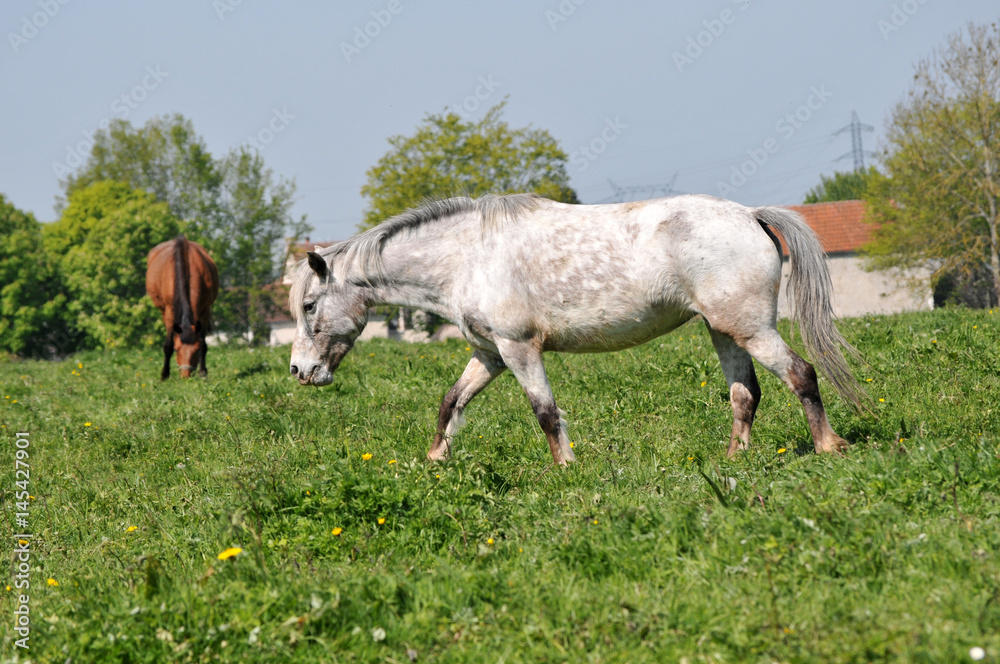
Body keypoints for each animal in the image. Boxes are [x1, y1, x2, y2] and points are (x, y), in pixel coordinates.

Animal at [146, 235, 219, 380]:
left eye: (196, 350)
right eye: (177, 349)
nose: (185, 376)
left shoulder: (205, 310)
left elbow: (203, 342)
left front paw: (203, 372)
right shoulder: (170, 311)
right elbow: (168, 345)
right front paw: (164, 375)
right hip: (163, 310)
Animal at [288, 194, 864, 464]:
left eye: (310, 304)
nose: (300, 371)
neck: (465, 256)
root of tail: (750, 214)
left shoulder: (519, 349)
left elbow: (545, 411)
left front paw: (565, 465)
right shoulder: (490, 354)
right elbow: (451, 402)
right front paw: (435, 460)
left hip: (750, 329)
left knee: (801, 374)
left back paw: (828, 446)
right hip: (724, 331)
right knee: (746, 395)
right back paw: (734, 458)